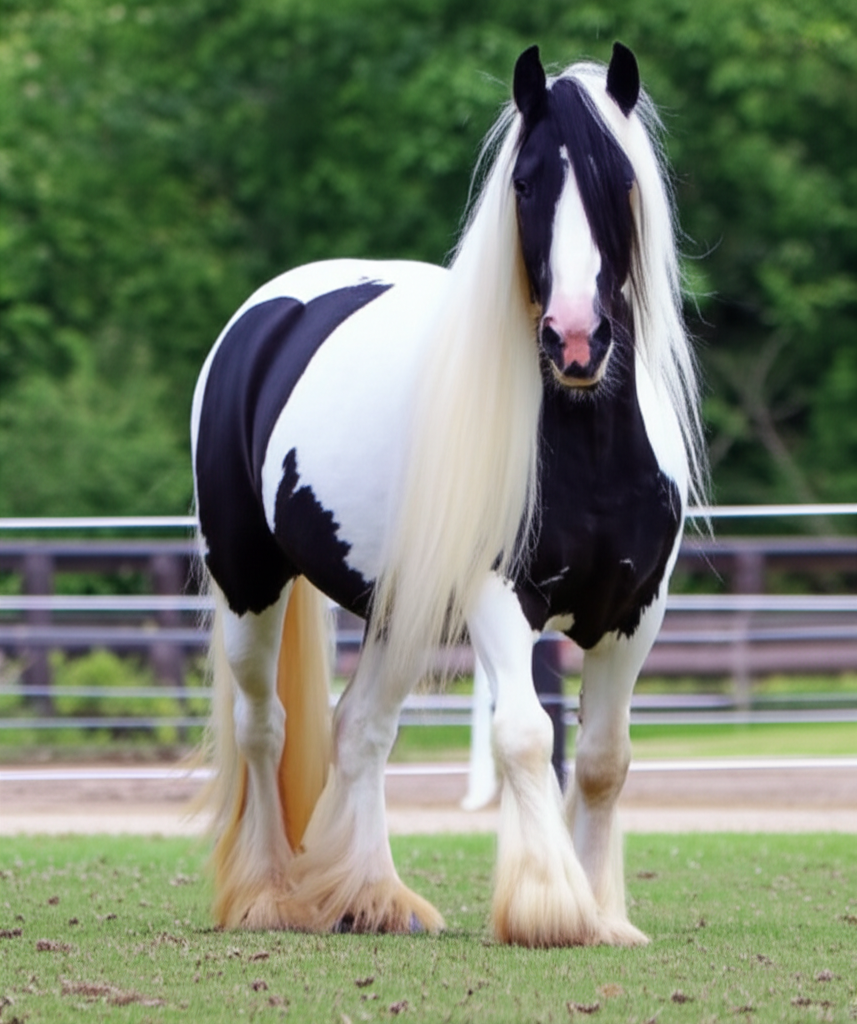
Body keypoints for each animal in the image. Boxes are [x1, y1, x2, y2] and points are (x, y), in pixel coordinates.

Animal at [191, 42, 706, 948]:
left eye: (620, 182)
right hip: (248, 582)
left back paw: (369, 897)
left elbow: (602, 761)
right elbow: (526, 736)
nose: (576, 340)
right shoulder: (498, 593)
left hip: (400, 610)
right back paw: (270, 895)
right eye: (526, 183)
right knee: (265, 728)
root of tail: (266, 315)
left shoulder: (634, 610)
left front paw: (603, 914)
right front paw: (548, 906)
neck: (586, 445)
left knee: (359, 732)